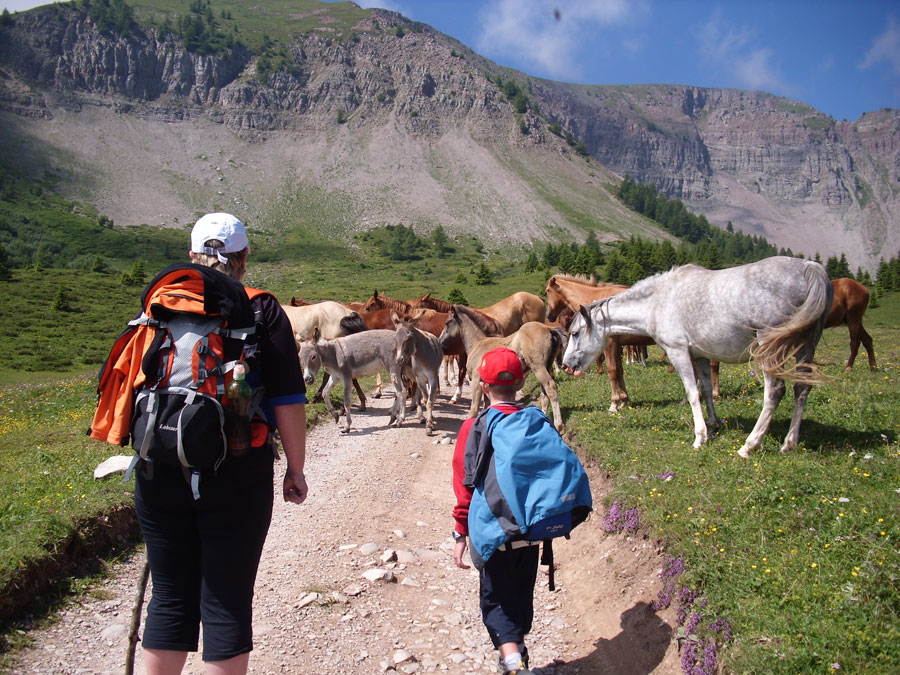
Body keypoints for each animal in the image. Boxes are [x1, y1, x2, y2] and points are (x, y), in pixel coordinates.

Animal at [440, 306, 568, 434]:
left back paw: (559, 426)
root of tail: (549, 329)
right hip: (547, 367)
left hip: (538, 367)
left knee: (551, 388)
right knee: (544, 394)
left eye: (447, 323)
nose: (440, 341)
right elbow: (487, 405)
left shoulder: (476, 380)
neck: (477, 343)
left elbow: (474, 408)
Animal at [564, 258, 828, 460]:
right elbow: (707, 389)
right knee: (801, 389)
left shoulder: (678, 352)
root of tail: (809, 267)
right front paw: (713, 425)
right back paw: (789, 443)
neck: (657, 301)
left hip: (768, 350)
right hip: (805, 348)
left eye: (575, 333)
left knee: (775, 392)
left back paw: (749, 445)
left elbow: (692, 392)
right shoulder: (700, 356)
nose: (566, 365)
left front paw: (700, 436)